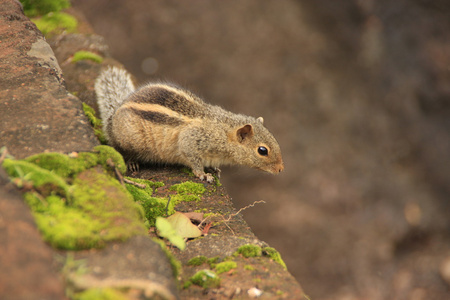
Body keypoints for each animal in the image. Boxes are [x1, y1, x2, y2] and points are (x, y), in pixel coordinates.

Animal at [94, 66, 284, 183]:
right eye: (262, 150)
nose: (281, 169)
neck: (222, 130)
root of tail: (112, 117)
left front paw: (215, 169)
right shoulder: (192, 141)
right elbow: (192, 158)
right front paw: (203, 174)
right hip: (129, 140)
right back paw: (132, 162)